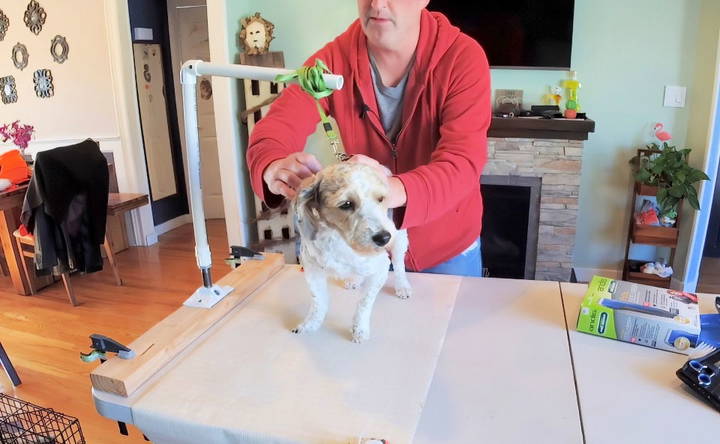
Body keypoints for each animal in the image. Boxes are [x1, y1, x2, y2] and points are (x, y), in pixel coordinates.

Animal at [292, 163, 410, 344]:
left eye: (381, 199)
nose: (384, 238)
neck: (341, 242)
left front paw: (360, 330)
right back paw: (355, 280)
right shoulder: (312, 269)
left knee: (399, 265)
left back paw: (402, 286)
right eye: (346, 204)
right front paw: (310, 324)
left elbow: (364, 303)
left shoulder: (381, 269)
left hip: (399, 239)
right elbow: (318, 301)